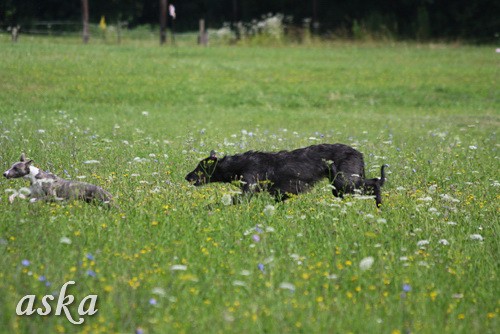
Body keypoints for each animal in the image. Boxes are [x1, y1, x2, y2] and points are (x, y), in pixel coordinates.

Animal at [186, 144, 388, 206]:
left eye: (199, 168)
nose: (187, 177)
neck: (239, 164)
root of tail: (358, 153)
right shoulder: (279, 193)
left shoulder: (249, 188)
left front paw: (204, 209)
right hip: (341, 186)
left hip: (345, 182)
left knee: (375, 182)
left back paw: (379, 206)